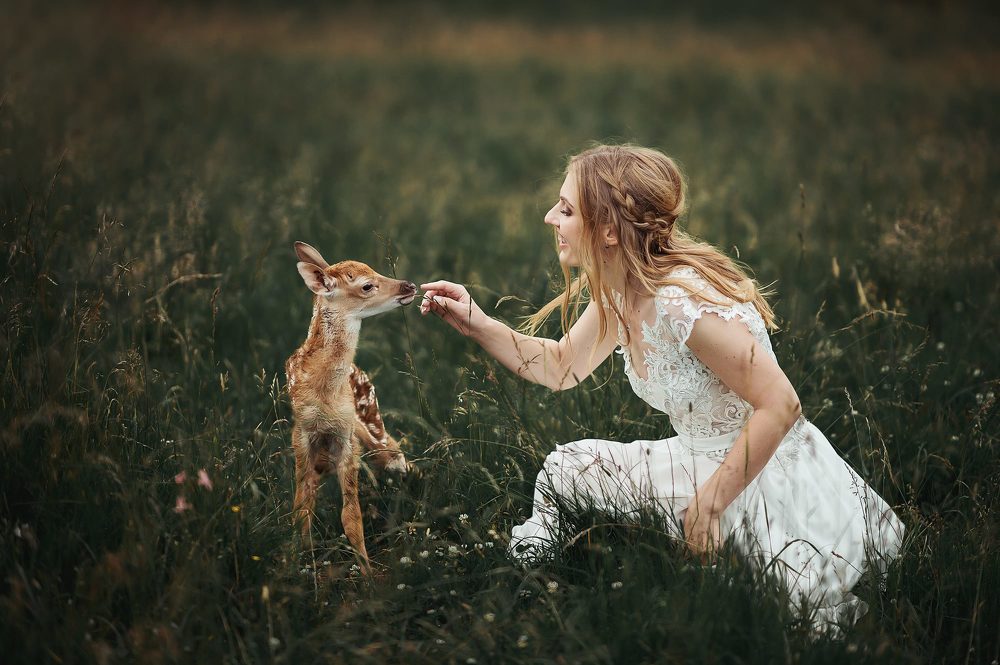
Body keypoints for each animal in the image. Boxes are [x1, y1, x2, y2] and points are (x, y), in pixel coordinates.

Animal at [285, 241, 415, 572]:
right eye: (367, 285)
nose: (409, 285)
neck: (325, 395)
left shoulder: (347, 438)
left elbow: (352, 517)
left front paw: (367, 573)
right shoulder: (302, 436)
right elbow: (301, 507)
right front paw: (300, 561)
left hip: (374, 425)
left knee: (400, 458)